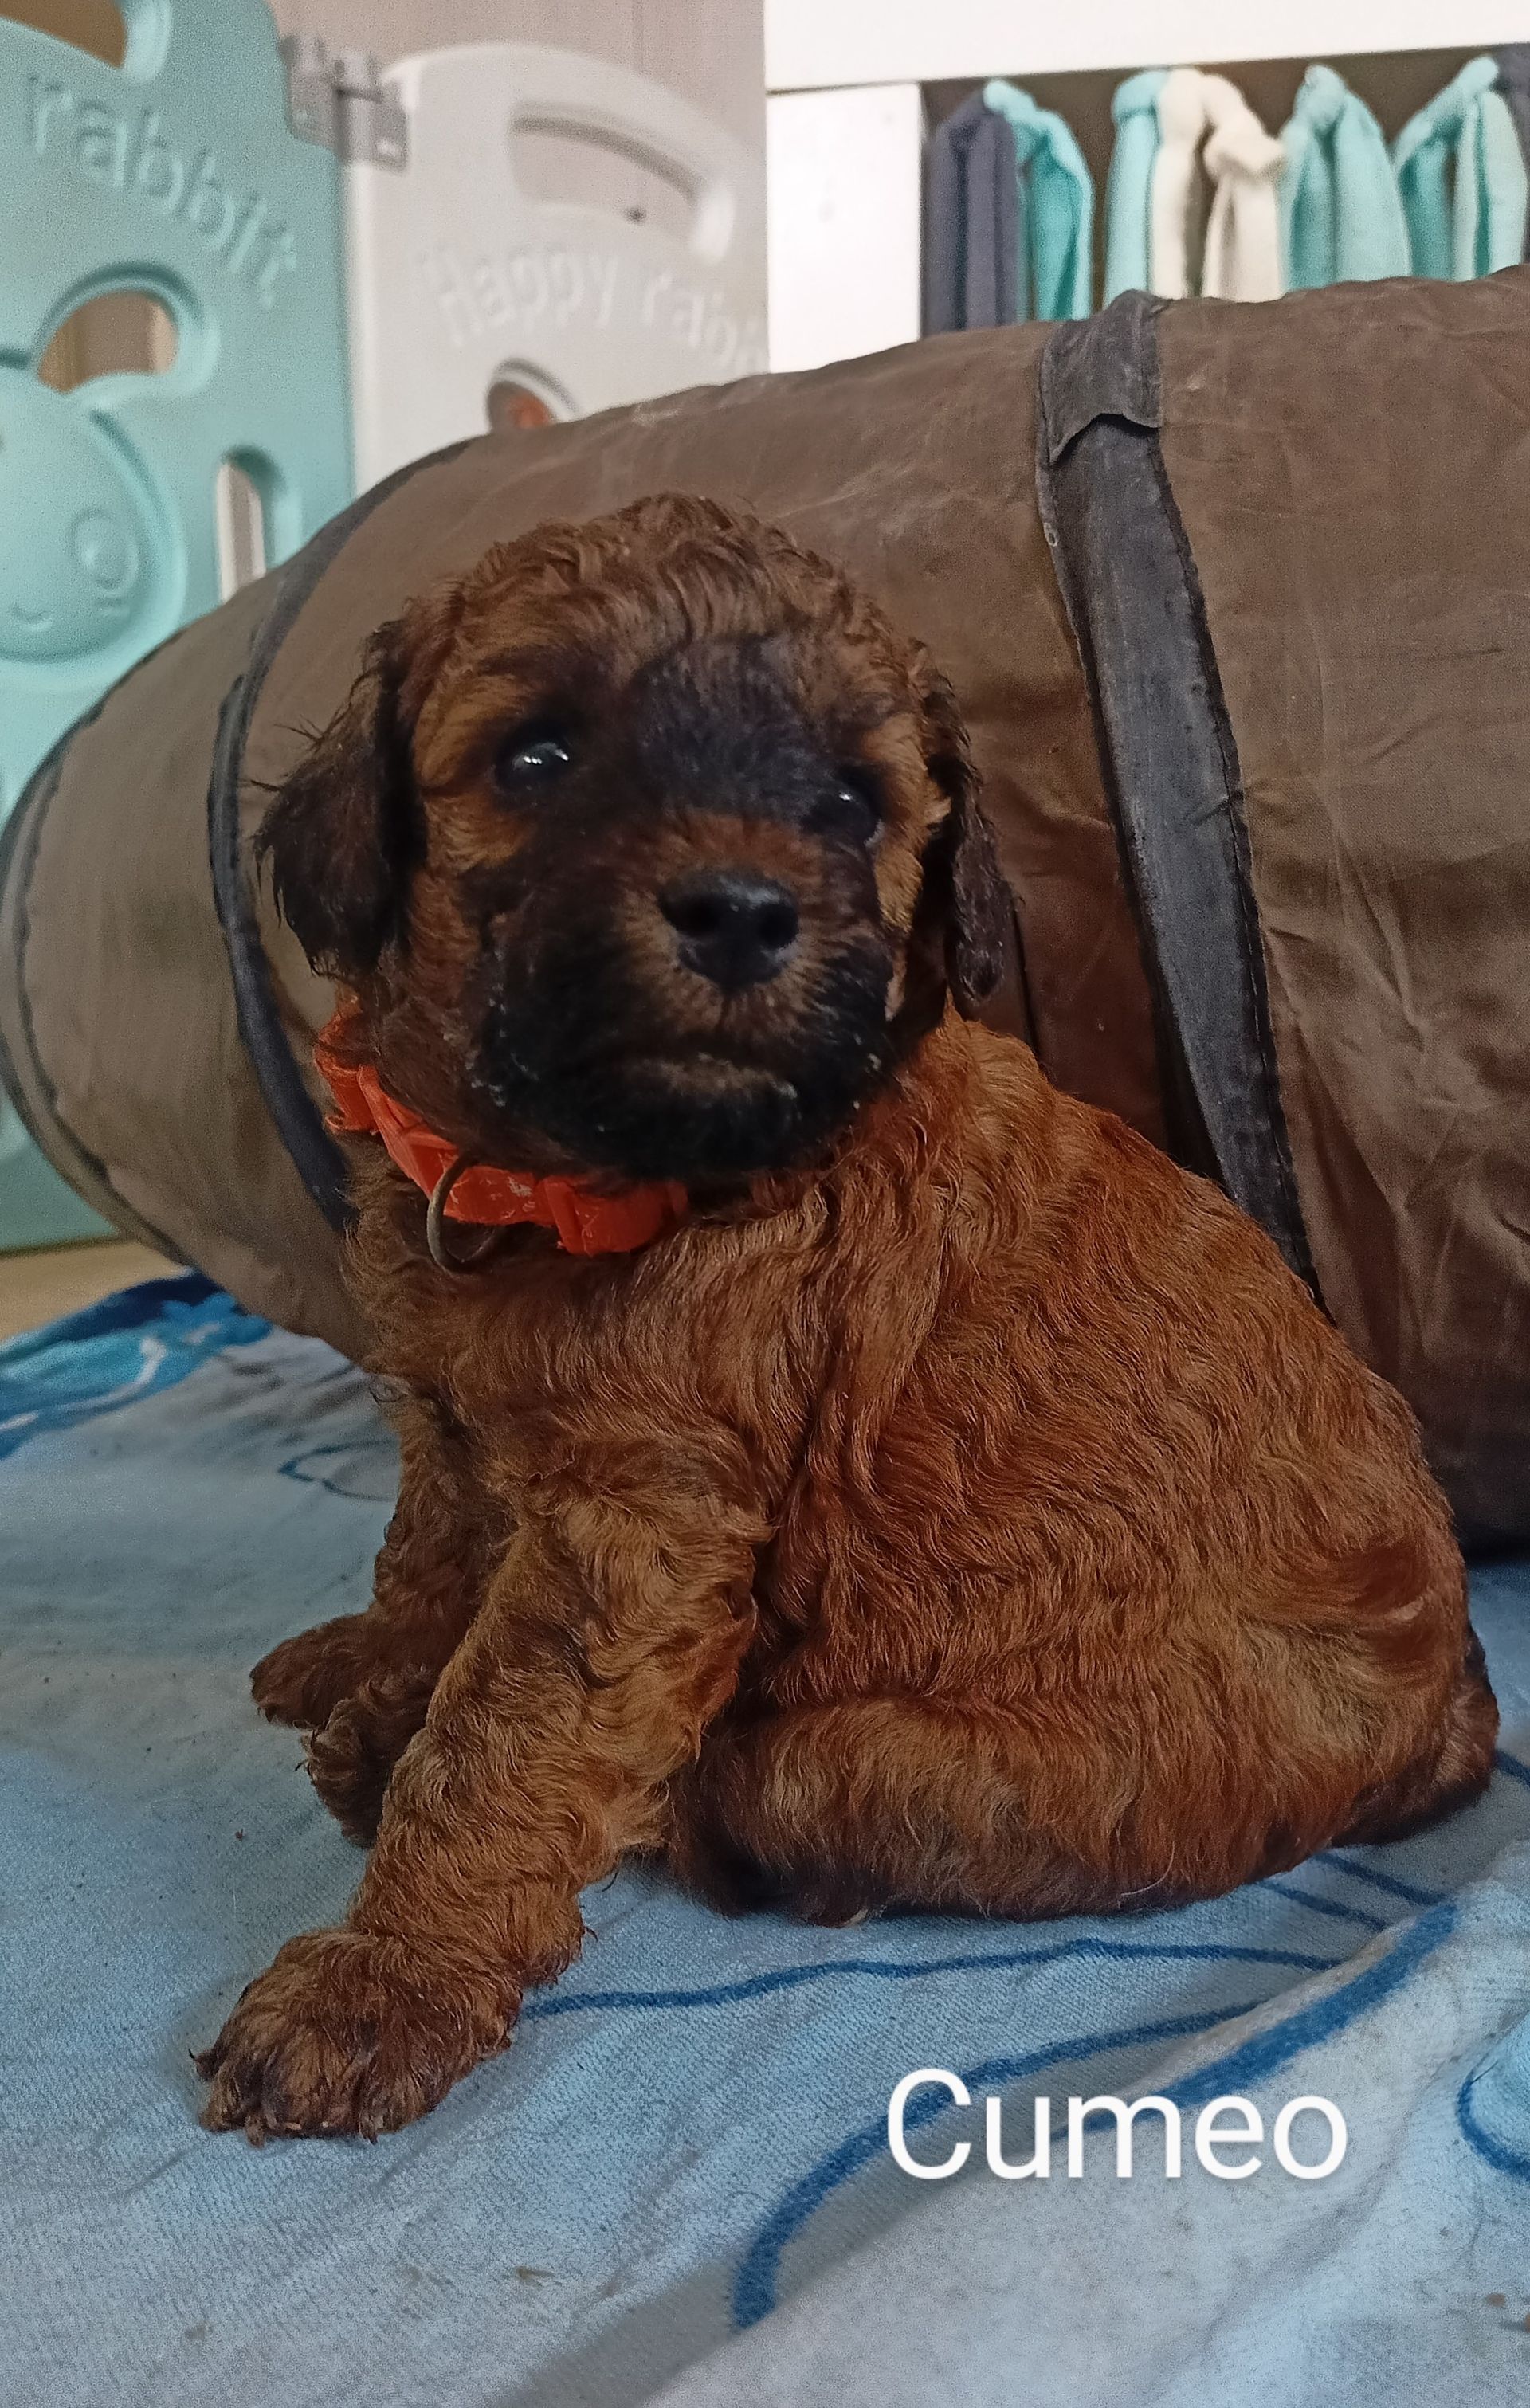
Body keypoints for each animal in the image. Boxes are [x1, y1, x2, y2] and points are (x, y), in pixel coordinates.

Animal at [196, 493, 1496, 2141]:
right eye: (538, 759)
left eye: (851, 800)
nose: (742, 915)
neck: (595, 1178)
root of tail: (1456, 1710)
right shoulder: (452, 1416)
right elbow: (426, 1552)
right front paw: (370, 1659)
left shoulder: (643, 1531)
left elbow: (500, 1742)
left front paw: (384, 1979)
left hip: (914, 1759)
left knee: (753, 1799)